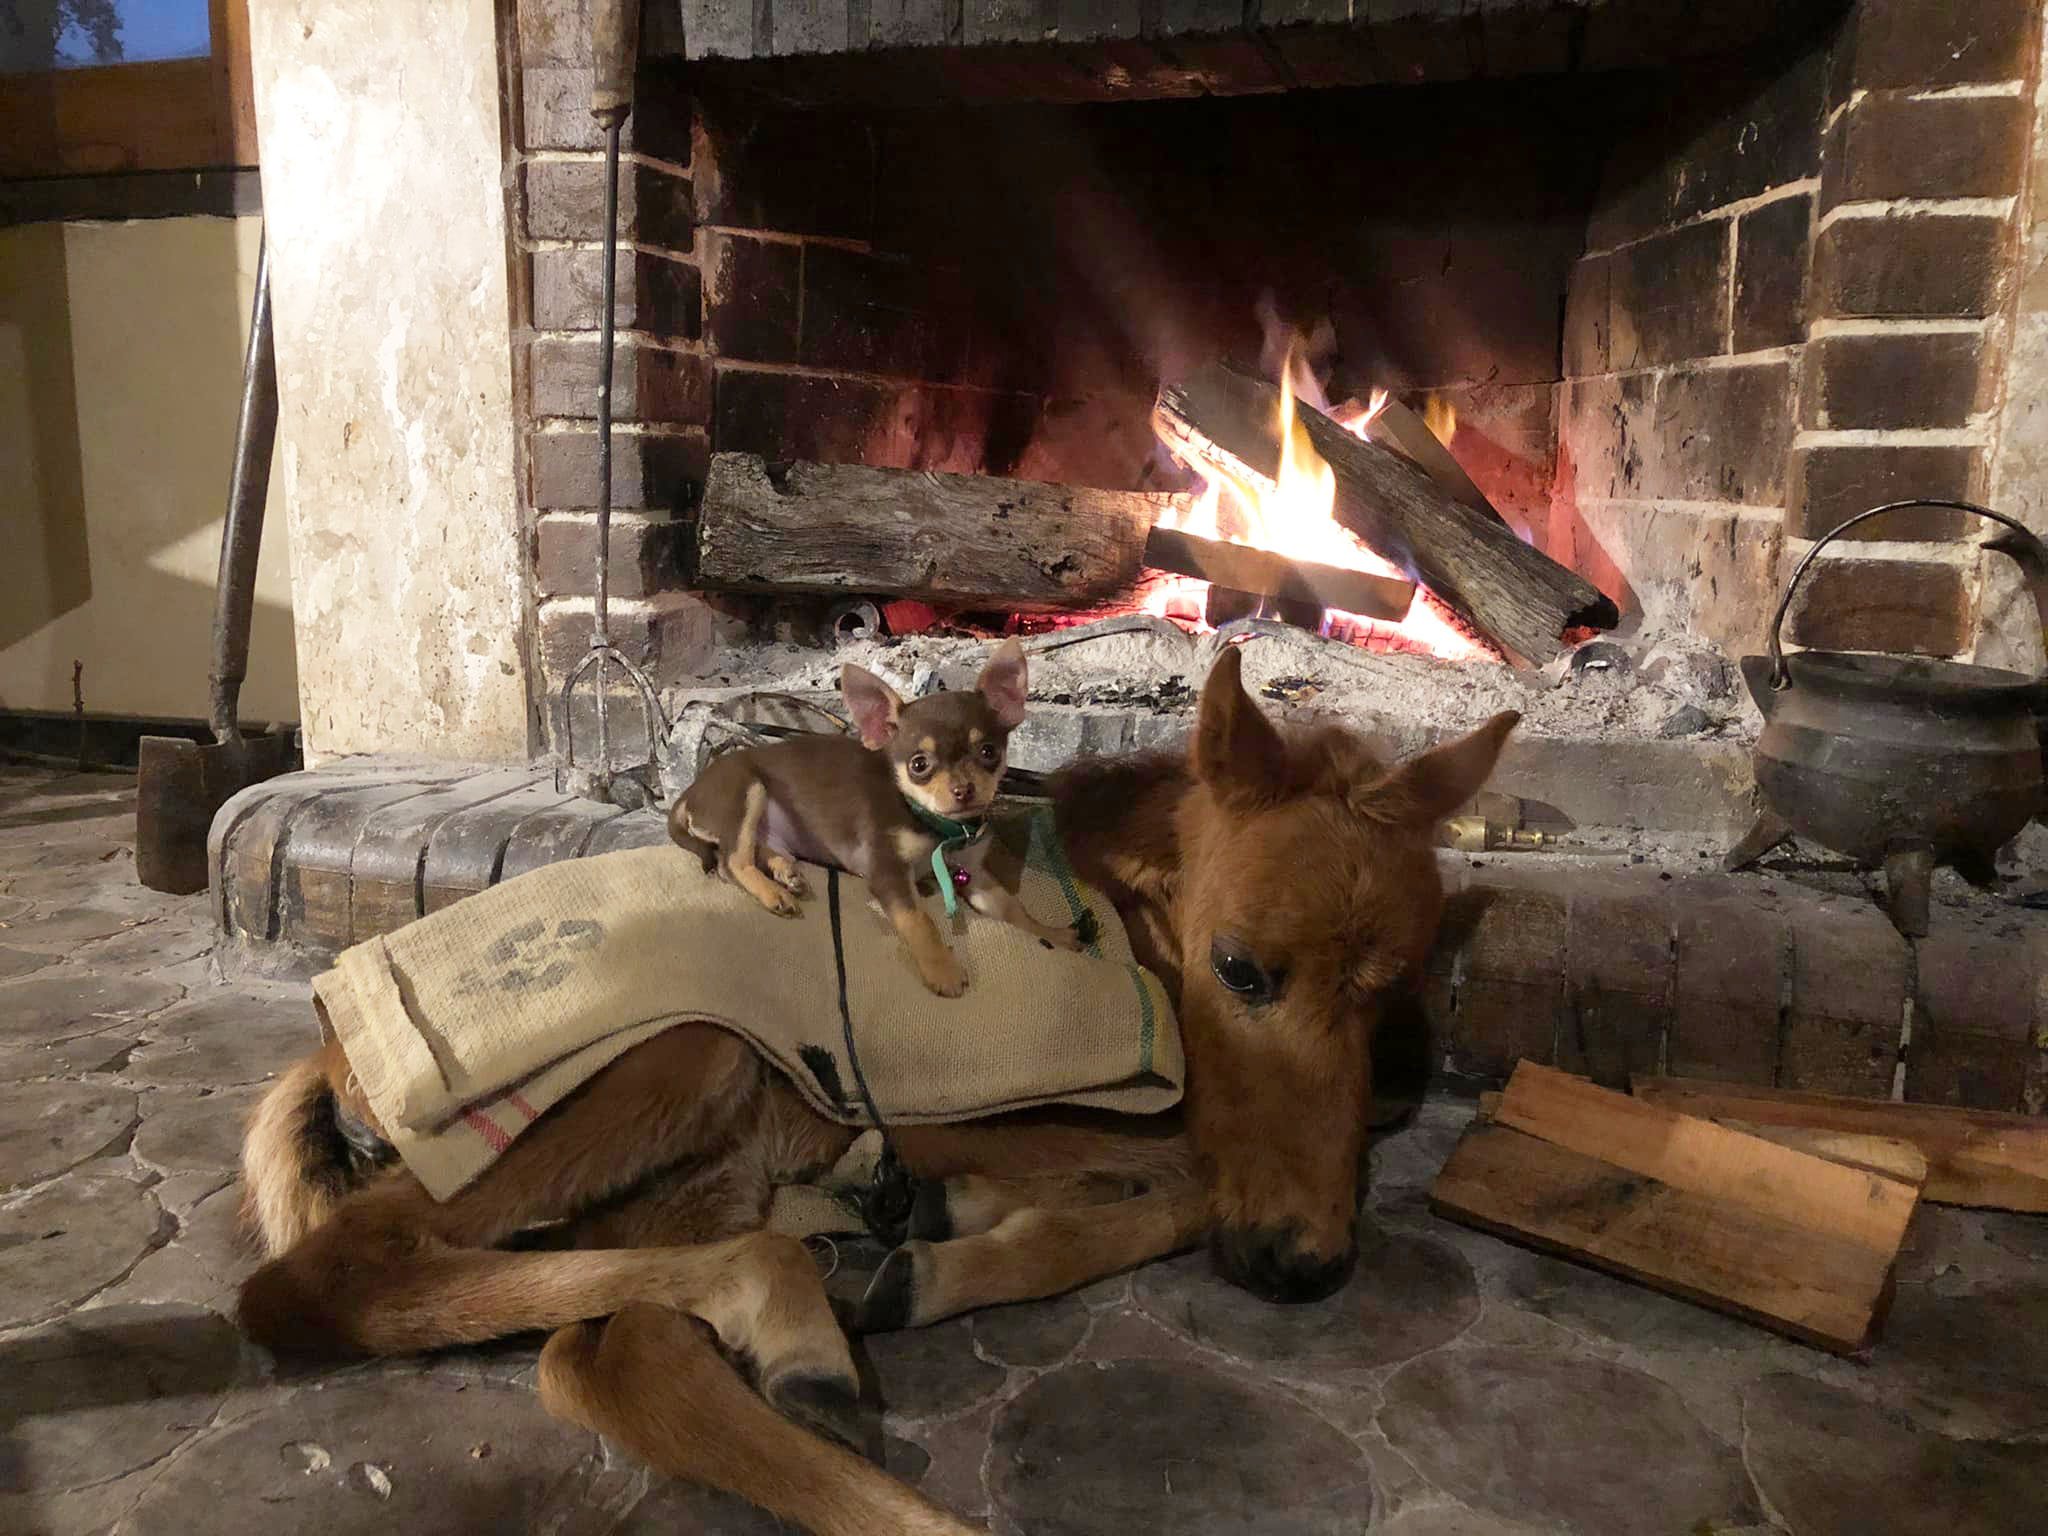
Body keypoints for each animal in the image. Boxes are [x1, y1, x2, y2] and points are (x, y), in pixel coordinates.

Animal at [671, 638, 1089, 999]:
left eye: (988, 751)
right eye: (919, 765)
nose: (963, 790)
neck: (938, 829)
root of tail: (688, 793)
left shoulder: (975, 875)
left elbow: (1013, 909)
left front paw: (1054, 934)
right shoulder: (887, 873)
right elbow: (919, 920)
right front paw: (942, 970)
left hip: (768, 822)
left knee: (759, 849)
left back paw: (786, 872)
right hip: (747, 789)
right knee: (731, 861)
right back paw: (773, 893)